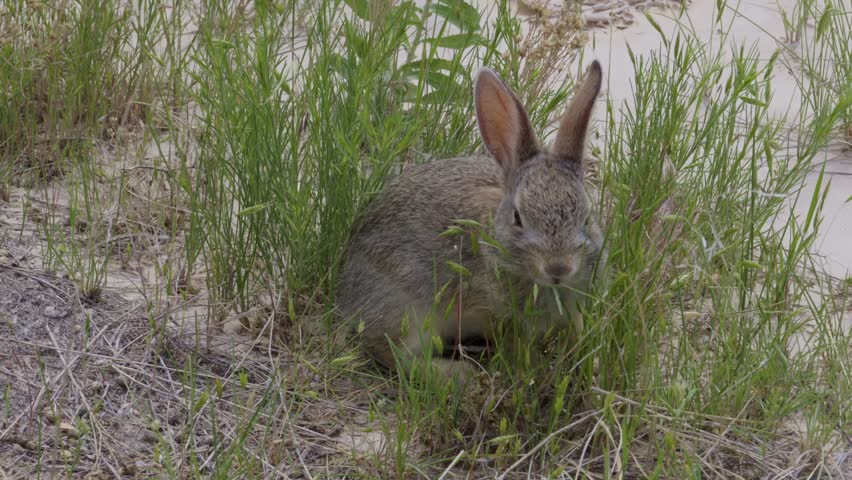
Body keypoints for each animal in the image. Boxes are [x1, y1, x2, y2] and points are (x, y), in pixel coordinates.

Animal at [337, 61, 605, 381]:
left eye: (587, 217)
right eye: (518, 218)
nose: (559, 268)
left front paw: (590, 362)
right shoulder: (493, 312)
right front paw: (532, 370)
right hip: (408, 310)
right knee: (394, 355)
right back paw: (457, 376)